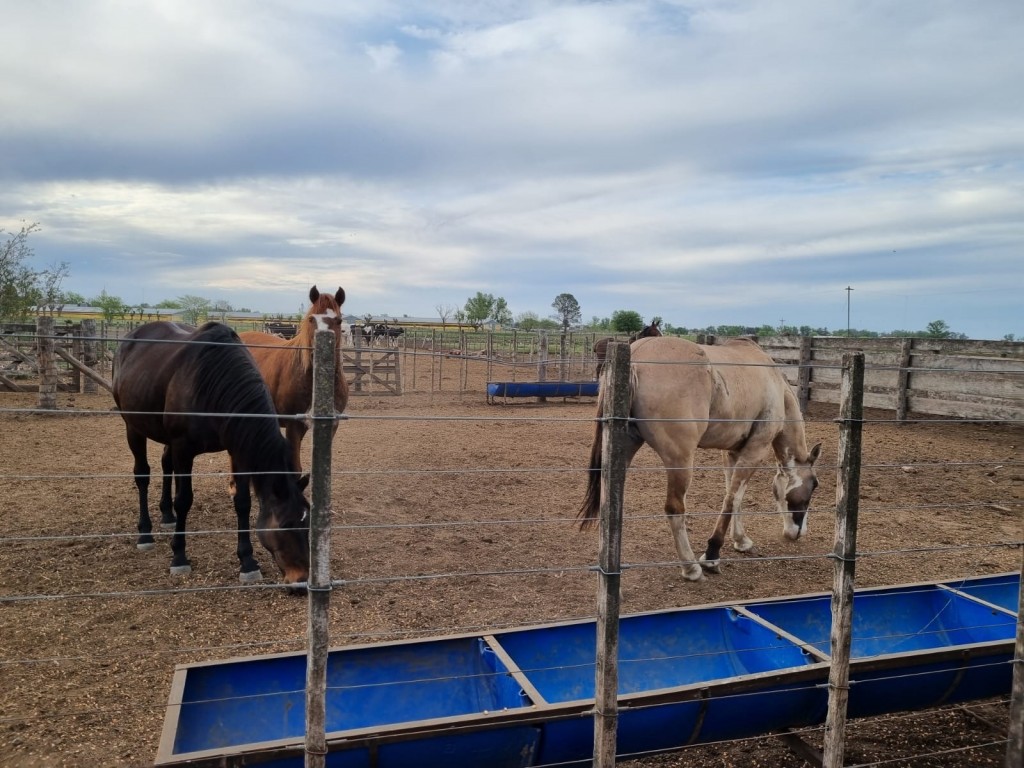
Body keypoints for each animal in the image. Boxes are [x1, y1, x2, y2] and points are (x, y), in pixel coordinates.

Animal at [112, 321, 309, 585]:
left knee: (166, 464)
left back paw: (167, 516)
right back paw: (145, 533)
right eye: (286, 524)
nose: (302, 579)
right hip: (133, 427)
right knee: (142, 475)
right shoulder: (183, 448)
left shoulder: (237, 449)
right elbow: (184, 500)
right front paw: (179, 557)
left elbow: (243, 502)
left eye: (307, 523)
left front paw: (247, 562)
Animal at [237, 284, 350, 473]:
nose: (318, 354)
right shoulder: (293, 425)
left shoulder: (331, 425)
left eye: (339, 321)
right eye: (311, 319)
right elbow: (295, 468)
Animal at [577, 339, 823, 581]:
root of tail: (636, 355)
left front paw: (741, 540)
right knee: (674, 508)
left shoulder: (733, 452)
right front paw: (712, 553)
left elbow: (734, 496)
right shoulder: (756, 449)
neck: (776, 385)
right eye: (814, 485)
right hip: (681, 460)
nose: (797, 532)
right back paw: (691, 567)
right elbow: (732, 499)